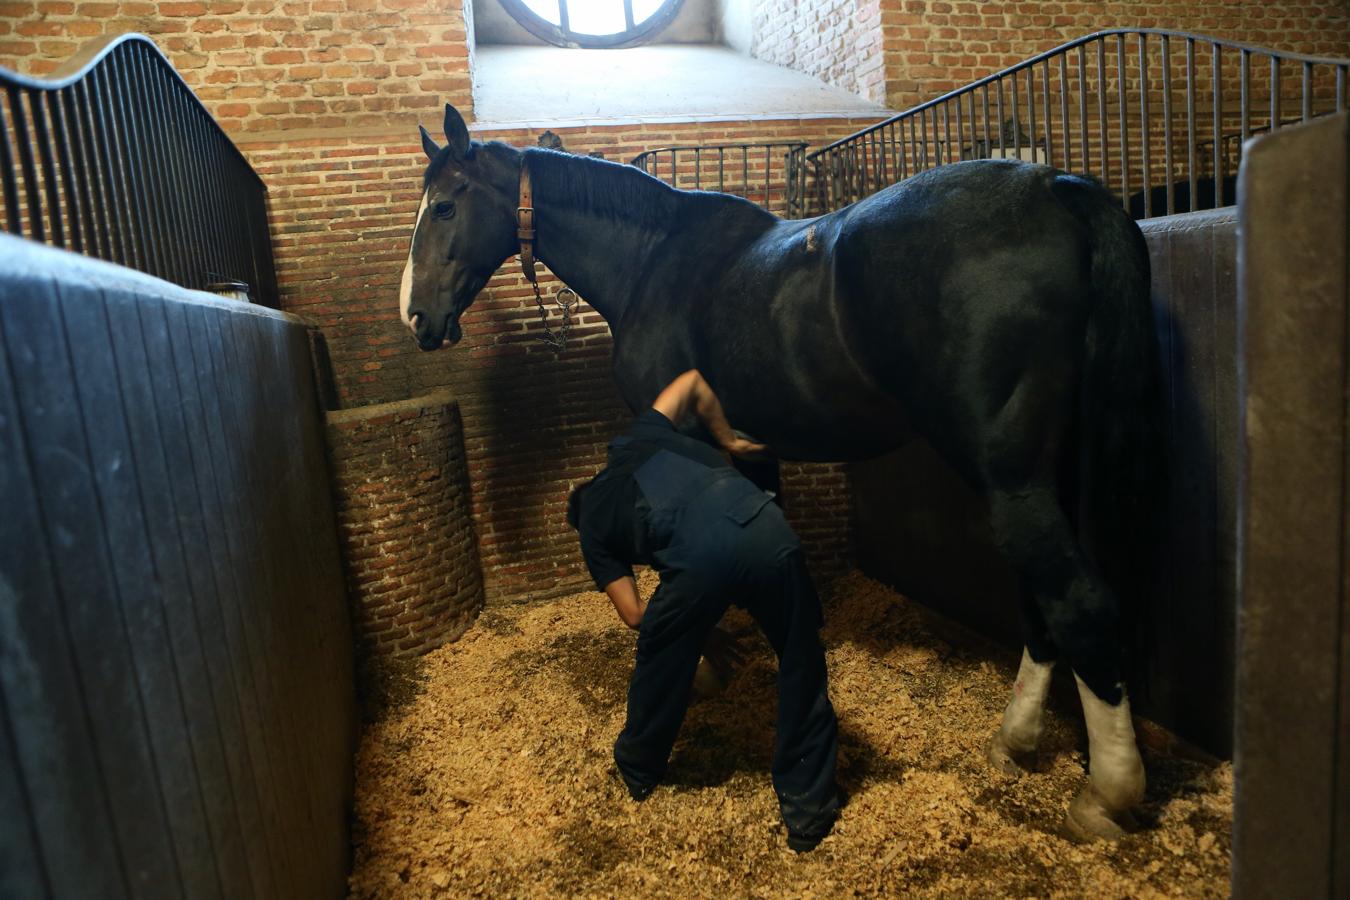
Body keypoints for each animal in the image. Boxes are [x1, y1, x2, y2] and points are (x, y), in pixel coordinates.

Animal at [396, 105, 1161, 847]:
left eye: (445, 206)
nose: (416, 317)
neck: (651, 262)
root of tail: (1056, 187)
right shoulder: (752, 449)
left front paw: (706, 665)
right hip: (1042, 470)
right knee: (1042, 597)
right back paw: (1017, 741)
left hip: (1009, 474)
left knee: (1076, 600)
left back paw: (1105, 794)